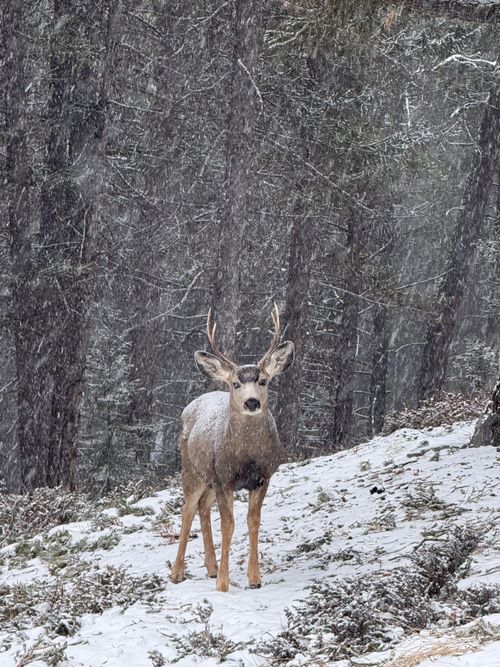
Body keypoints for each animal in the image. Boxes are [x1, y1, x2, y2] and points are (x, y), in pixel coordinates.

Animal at [170, 305, 294, 592]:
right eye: (236, 383)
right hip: (193, 470)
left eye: (263, 380)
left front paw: (254, 579)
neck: (246, 458)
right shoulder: (224, 477)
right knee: (187, 510)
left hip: (209, 479)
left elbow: (253, 522)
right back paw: (177, 573)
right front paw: (224, 585)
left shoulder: (262, 478)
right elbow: (228, 525)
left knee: (203, 507)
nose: (251, 402)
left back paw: (211, 567)